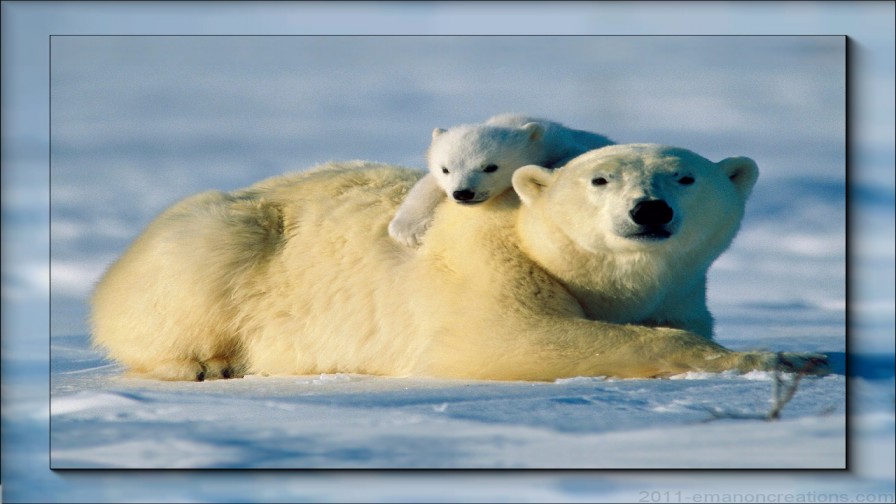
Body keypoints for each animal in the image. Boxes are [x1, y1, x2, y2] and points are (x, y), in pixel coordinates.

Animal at [90, 145, 828, 382]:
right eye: (601, 179)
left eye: (685, 177)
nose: (649, 210)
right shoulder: (485, 264)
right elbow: (513, 338)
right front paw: (787, 356)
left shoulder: (680, 289)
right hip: (217, 239)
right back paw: (203, 363)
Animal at [387, 114, 614, 247]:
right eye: (445, 169)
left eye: (490, 167)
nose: (463, 193)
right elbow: (427, 185)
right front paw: (408, 231)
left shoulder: (563, 144)